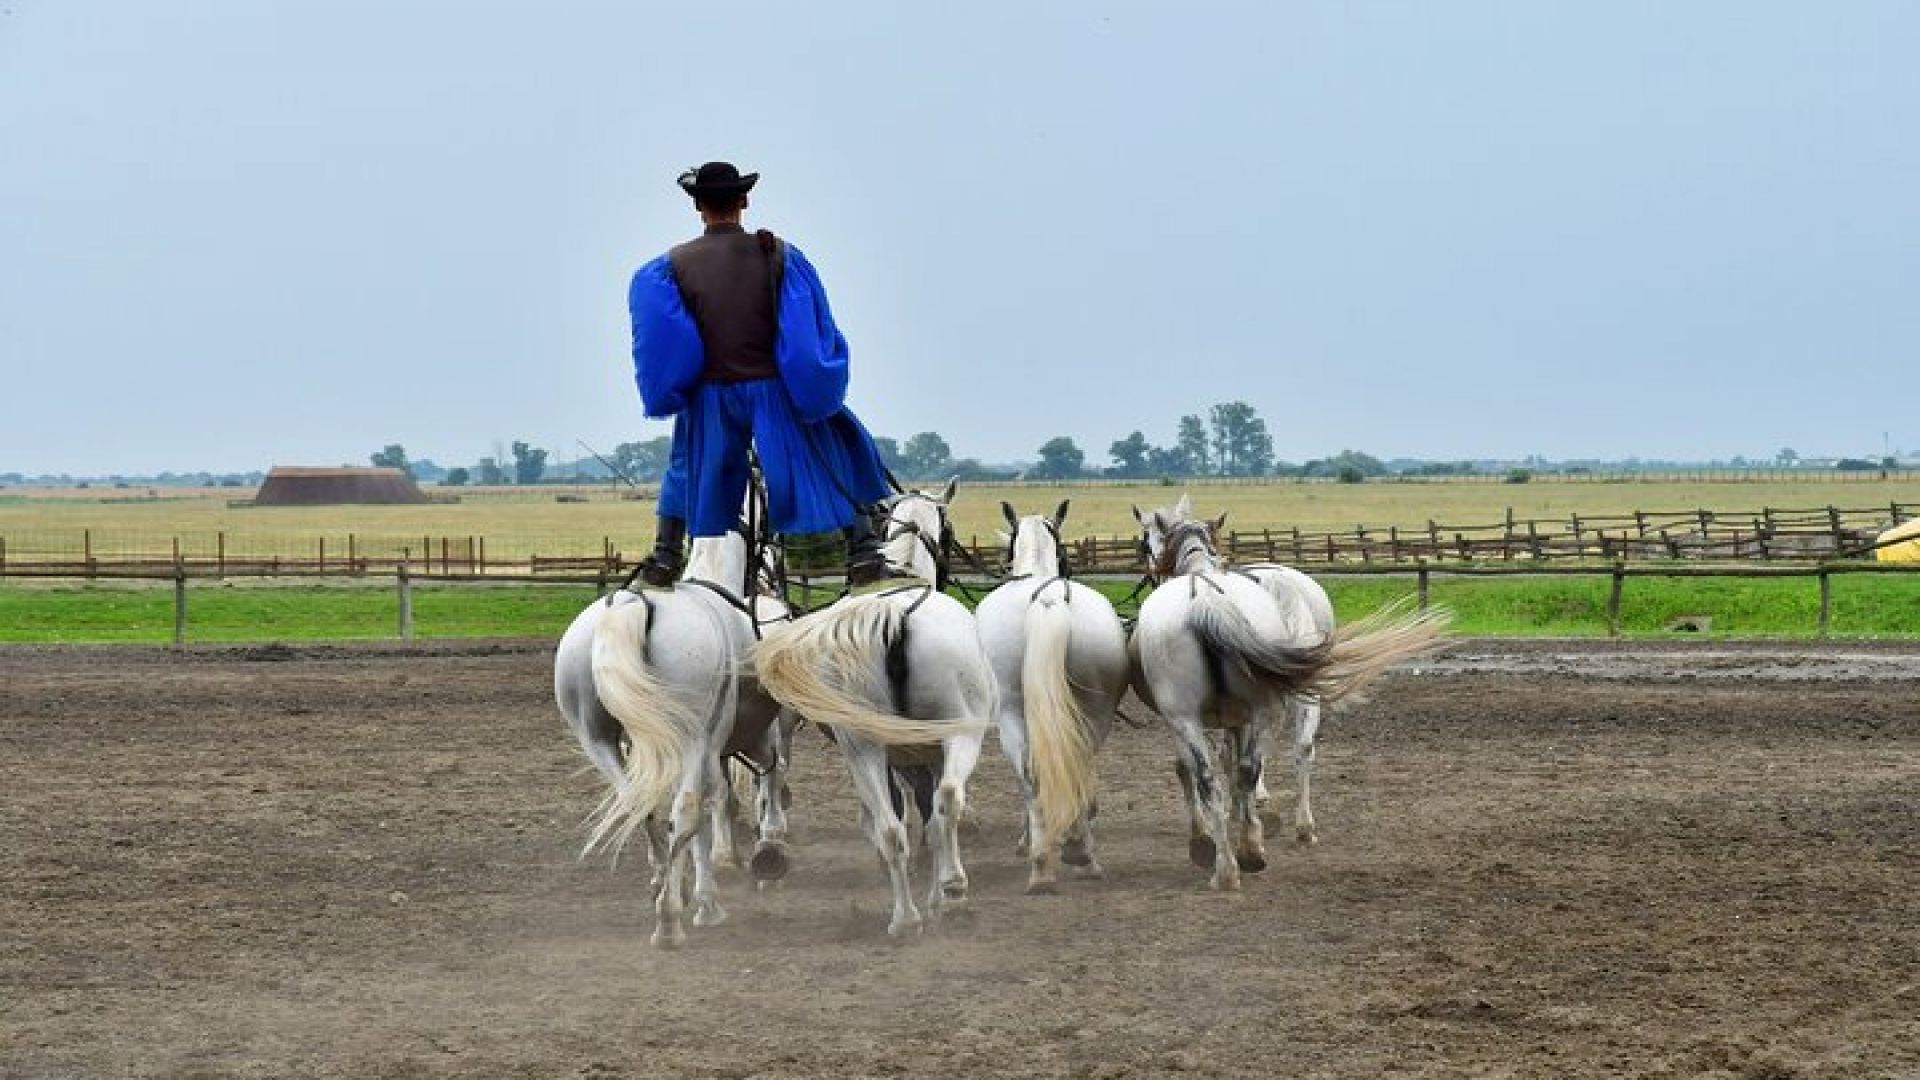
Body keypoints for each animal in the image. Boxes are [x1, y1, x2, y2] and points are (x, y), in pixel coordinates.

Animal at [552, 528, 796, 948]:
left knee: (642, 806)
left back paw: (667, 889)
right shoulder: (740, 742)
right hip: (693, 742)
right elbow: (751, 789)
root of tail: (632, 604)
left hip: (599, 743)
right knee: (688, 810)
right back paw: (673, 919)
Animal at [754, 480, 995, 937]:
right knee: (945, 801)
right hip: (957, 734)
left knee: (891, 828)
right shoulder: (924, 754)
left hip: (863, 747)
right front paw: (939, 889)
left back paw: (905, 919)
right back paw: (950, 892)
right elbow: (929, 816)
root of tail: (895, 620)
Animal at [973, 500, 1130, 893]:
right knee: (1070, 765)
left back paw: (1056, 862)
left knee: (1039, 774)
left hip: (1013, 713)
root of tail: (1047, 599)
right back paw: (1066, 859)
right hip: (1092, 710)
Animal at [1130, 494, 1449, 891]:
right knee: (1286, 754)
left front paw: (1206, 833)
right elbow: (1232, 764)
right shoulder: (1227, 717)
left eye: (1145, 543)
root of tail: (1206, 599)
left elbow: (1196, 766)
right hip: (1268, 704)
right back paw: (1273, 840)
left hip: (1197, 715)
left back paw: (1235, 856)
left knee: (1219, 772)